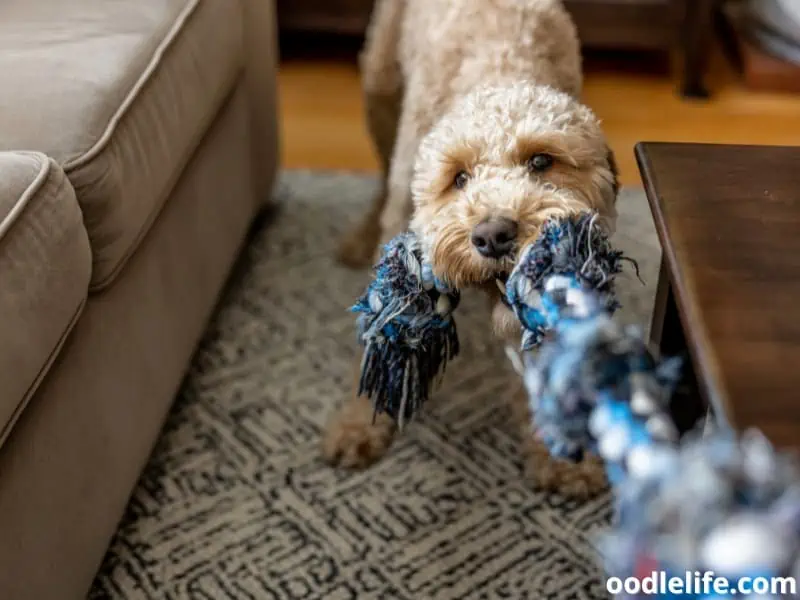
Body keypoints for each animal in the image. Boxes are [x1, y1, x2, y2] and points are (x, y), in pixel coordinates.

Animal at [324, 0, 620, 502]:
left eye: (541, 161)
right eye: (459, 177)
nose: (493, 234)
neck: (498, 70)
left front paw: (563, 458)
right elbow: (381, 336)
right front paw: (360, 424)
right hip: (380, 85)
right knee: (381, 176)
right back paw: (359, 237)